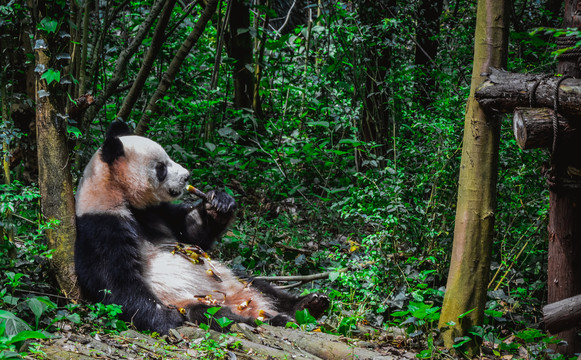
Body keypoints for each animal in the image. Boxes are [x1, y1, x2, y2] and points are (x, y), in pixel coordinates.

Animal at [73, 122, 326, 334]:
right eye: (161, 168)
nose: (187, 176)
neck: (122, 196)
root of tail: (244, 301)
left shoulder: (158, 212)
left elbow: (192, 233)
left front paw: (219, 204)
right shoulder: (102, 224)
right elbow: (114, 281)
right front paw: (165, 319)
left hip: (233, 276)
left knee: (262, 285)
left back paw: (309, 304)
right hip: (191, 300)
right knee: (213, 314)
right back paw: (265, 319)